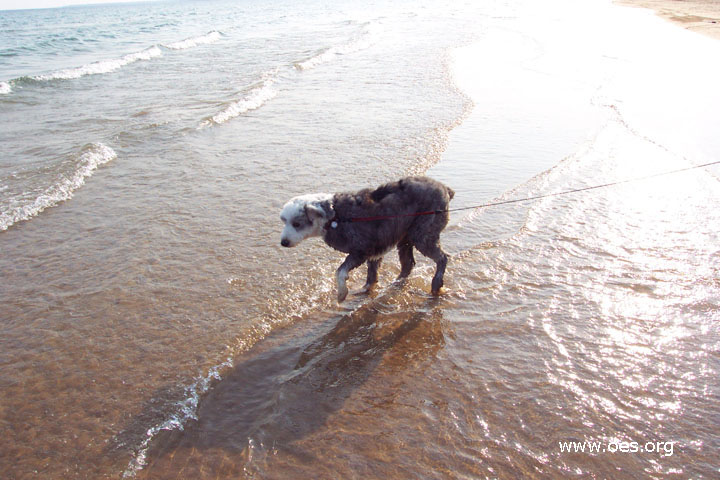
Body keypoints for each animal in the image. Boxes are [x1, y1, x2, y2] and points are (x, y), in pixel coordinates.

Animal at [282, 176, 456, 302]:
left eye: (296, 223)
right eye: (283, 221)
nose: (283, 242)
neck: (335, 217)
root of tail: (444, 189)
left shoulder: (361, 250)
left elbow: (340, 271)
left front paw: (342, 294)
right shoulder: (375, 249)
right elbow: (372, 274)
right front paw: (366, 289)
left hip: (423, 234)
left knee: (442, 258)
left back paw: (436, 285)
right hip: (405, 237)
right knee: (408, 264)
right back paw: (395, 283)